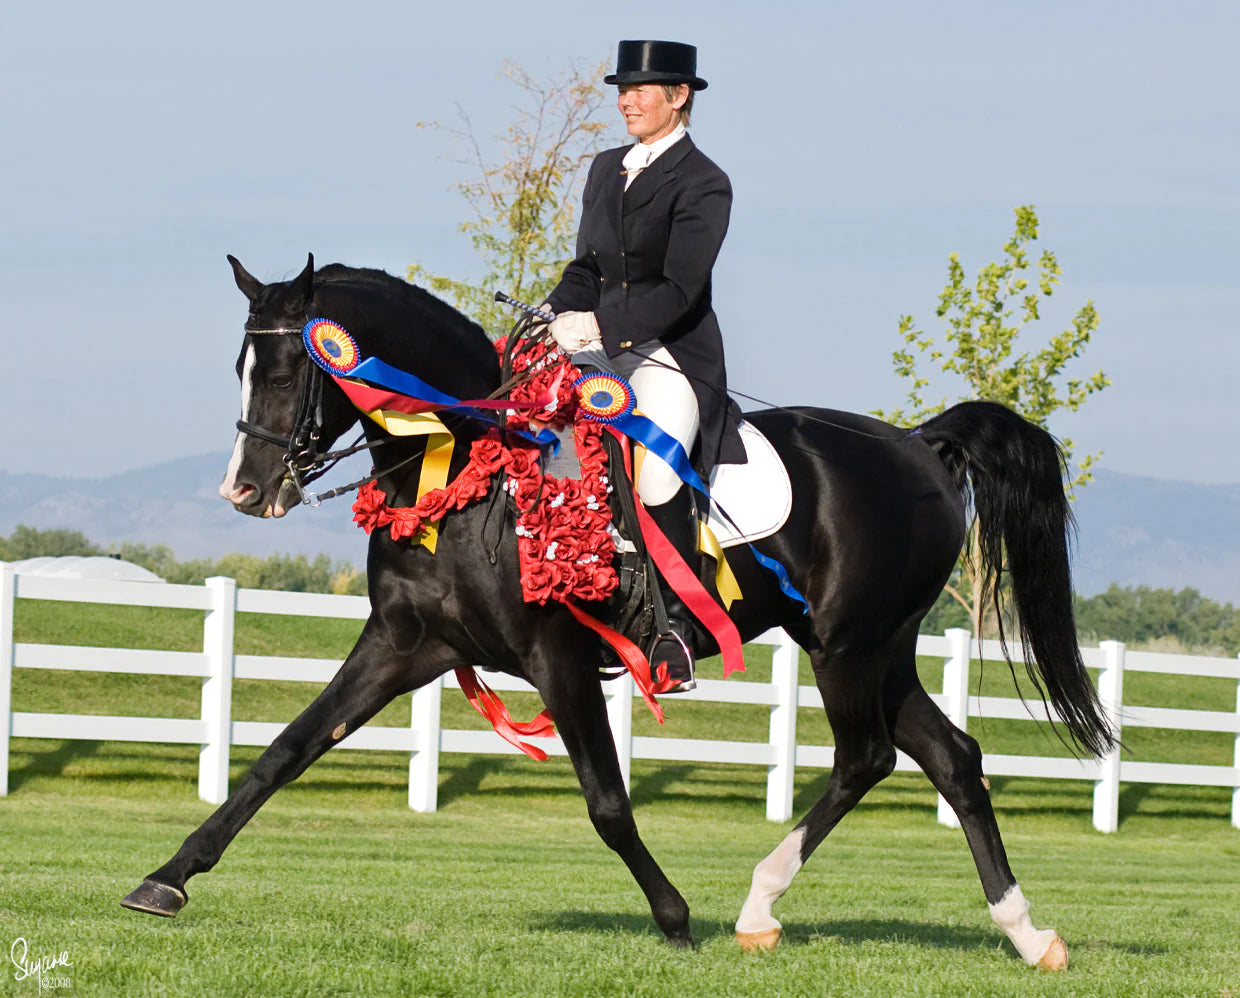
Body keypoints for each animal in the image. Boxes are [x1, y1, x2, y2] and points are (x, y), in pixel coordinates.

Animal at [121, 254, 1112, 970]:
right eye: (243, 366)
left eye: (296, 368)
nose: (247, 492)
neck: (469, 468)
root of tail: (916, 444)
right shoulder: (404, 646)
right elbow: (283, 752)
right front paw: (166, 880)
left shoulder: (557, 659)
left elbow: (606, 800)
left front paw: (674, 919)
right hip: (882, 648)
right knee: (952, 758)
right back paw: (1026, 935)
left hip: (848, 646)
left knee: (866, 757)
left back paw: (756, 906)